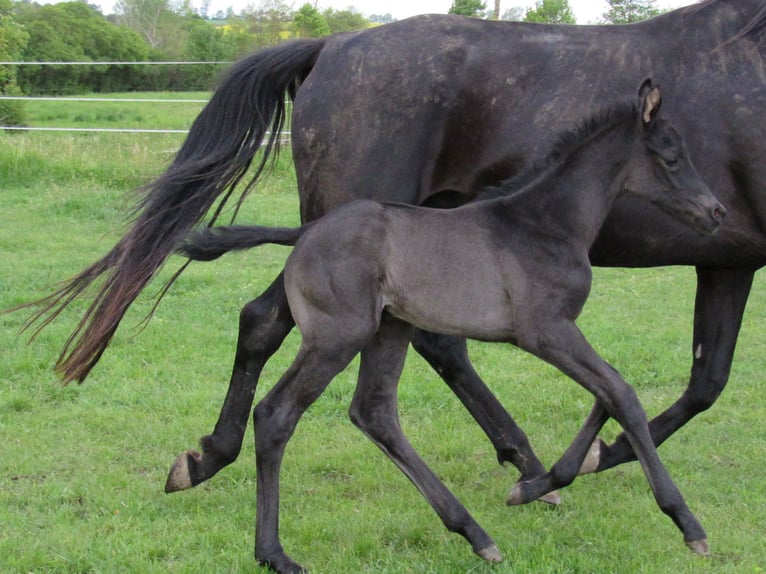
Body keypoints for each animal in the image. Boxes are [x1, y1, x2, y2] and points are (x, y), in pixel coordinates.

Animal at [24, 0, 766, 498]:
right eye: (671, 155)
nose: (713, 210)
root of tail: (332, 45)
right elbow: (672, 387)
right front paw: (594, 461)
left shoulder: (728, 261)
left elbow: (704, 380)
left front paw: (592, 457)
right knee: (273, 321)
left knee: (406, 339)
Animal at [176, 80, 724, 572]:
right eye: (672, 157)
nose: (716, 212)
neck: (545, 223)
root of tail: (307, 231)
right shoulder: (546, 331)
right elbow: (622, 394)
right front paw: (687, 524)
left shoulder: (561, 332)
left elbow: (605, 394)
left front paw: (536, 485)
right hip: (337, 336)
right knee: (277, 414)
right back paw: (274, 554)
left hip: (389, 329)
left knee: (374, 412)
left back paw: (475, 534)